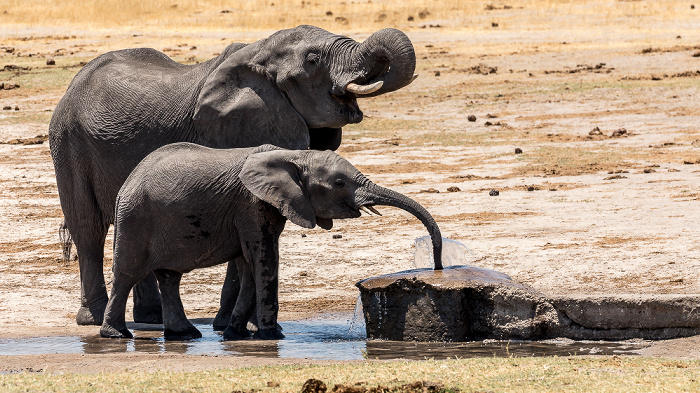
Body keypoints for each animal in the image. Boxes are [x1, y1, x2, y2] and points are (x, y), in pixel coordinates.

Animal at [50, 23, 422, 324]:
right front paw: (234, 324)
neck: (259, 53)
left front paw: (228, 324)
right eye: (313, 60)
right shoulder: (237, 132)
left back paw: (150, 319)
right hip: (68, 140)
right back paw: (94, 319)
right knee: (89, 228)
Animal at [100, 142, 440, 338]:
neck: (293, 156)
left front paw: (237, 333)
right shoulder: (251, 203)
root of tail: (128, 180)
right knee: (127, 272)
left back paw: (185, 335)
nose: (437, 264)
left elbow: (250, 263)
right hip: (135, 217)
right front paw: (271, 336)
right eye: (339, 183)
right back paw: (116, 335)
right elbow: (263, 257)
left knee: (169, 277)